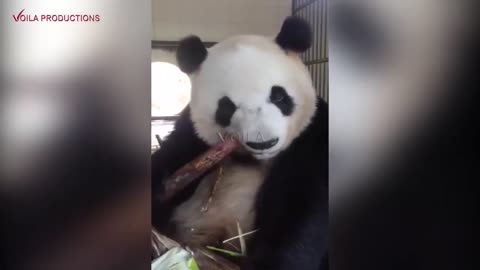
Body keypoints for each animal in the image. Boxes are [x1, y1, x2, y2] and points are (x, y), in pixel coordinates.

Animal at [152, 16, 328, 270]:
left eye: (278, 96)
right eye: (226, 106)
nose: (263, 142)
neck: (254, 159)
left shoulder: (313, 137)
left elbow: (301, 209)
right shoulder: (194, 135)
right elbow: (172, 158)